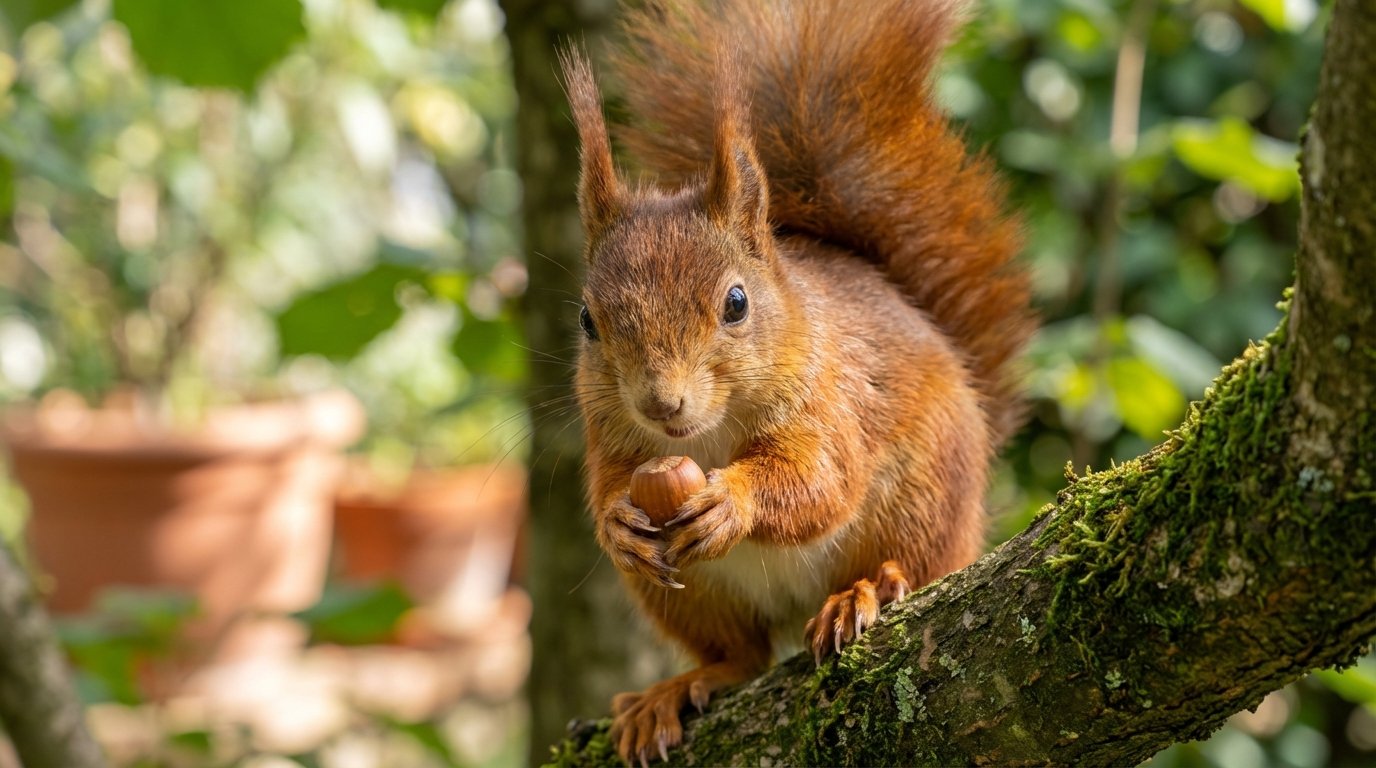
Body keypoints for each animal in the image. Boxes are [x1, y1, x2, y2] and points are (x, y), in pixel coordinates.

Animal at [562, 0, 1033, 762]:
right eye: (586, 321)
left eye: (736, 303)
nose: (662, 404)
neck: (708, 434)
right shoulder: (612, 440)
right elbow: (607, 491)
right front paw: (617, 523)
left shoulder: (830, 399)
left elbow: (821, 481)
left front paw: (732, 500)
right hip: (688, 595)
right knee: (741, 654)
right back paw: (677, 689)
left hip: (925, 501)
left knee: (911, 563)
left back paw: (868, 591)